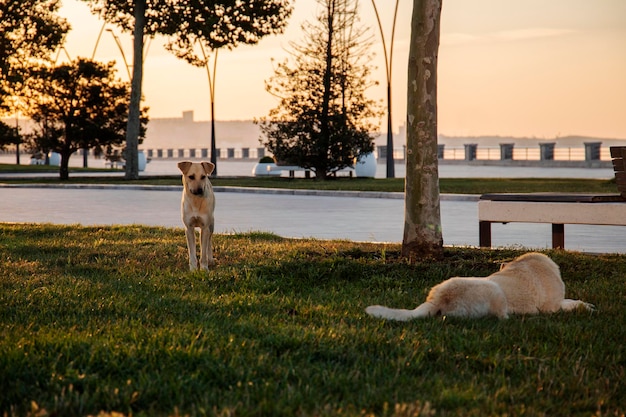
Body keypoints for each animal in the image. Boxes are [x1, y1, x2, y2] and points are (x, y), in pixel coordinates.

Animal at [364, 252, 592, 320]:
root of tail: (437, 300)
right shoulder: (552, 307)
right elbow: (570, 303)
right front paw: (586, 307)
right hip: (495, 290)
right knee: (500, 316)